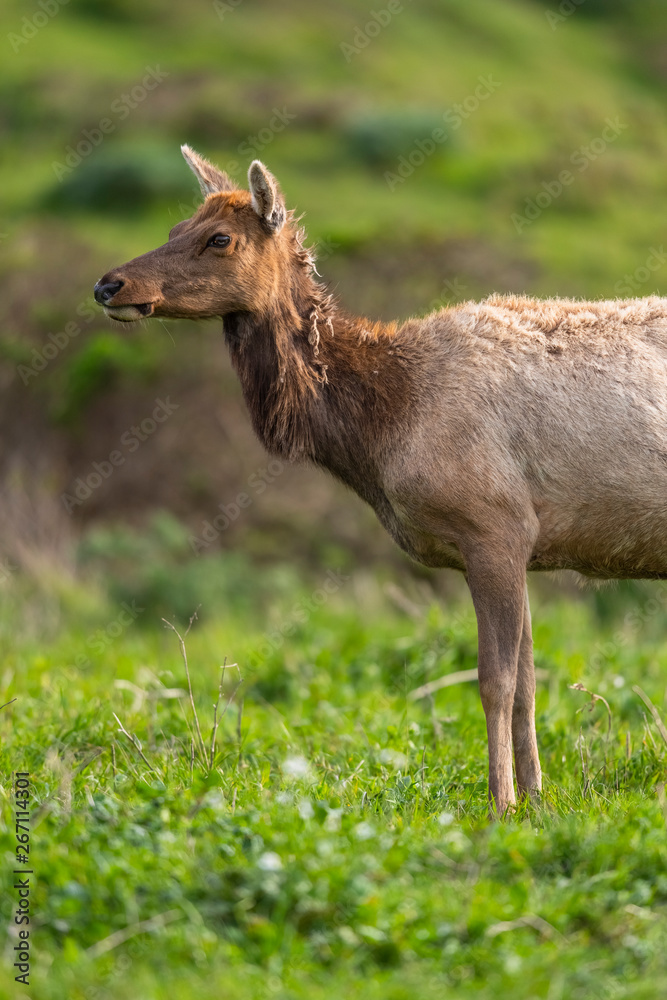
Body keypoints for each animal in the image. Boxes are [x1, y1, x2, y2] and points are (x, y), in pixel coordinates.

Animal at [93, 145, 667, 815]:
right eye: (172, 228)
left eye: (219, 238)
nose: (109, 284)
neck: (382, 427)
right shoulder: (524, 544)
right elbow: (528, 681)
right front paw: (535, 797)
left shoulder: (495, 525)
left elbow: (495, 681)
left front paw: (500, 802)